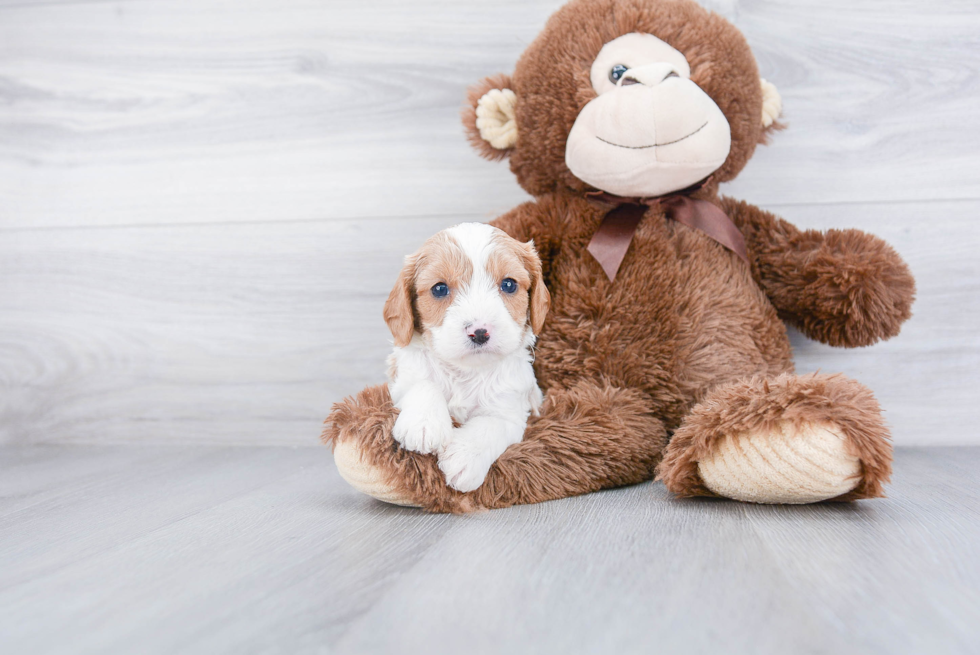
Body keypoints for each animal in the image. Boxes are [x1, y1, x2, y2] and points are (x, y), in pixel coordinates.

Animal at [382, 223, 552, 490]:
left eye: (509, 285)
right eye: (439, 289)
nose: (480, 332)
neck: (465, 371)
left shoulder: (511, 411)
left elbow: (490, 425)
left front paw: (464, 457)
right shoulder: (400, 381)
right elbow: (423, 383)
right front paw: (423, 424)